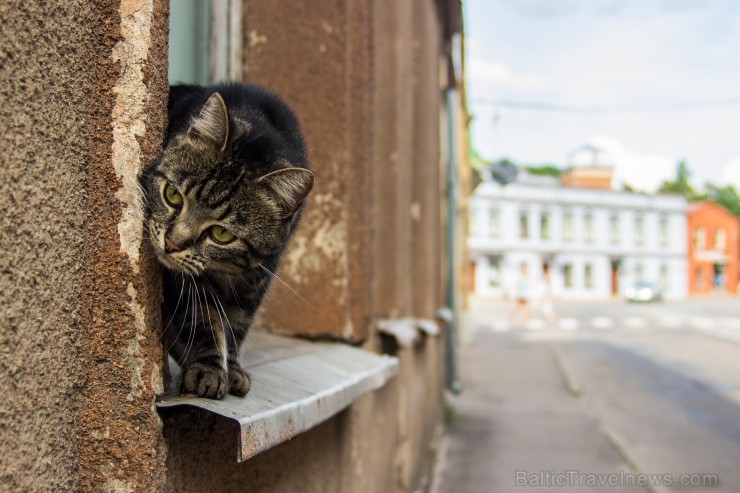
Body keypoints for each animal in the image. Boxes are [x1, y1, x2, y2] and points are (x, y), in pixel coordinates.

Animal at [140, 82, 314, 398]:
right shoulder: (183, 282)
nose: (171, 244)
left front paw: (230, 367)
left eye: (222, 234)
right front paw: (207, 369)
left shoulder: (257, 279)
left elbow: (236, 324)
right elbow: (203, 320)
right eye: (173, 196)